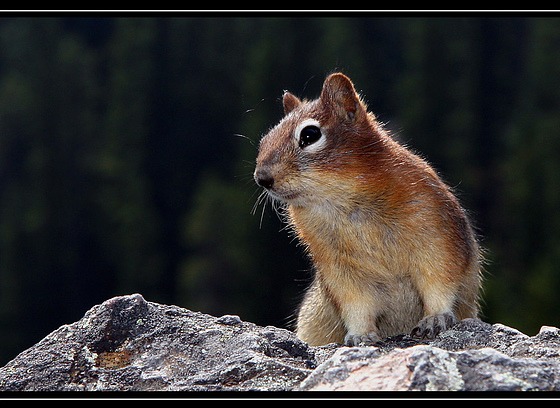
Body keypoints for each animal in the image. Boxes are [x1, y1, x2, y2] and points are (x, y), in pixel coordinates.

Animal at [254, 72, 482, 344]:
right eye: (265, 139)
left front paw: (435, 318)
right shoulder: (338, 269)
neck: (343, 202)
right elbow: (356, 305)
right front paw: (360, 336)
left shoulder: (437, 238)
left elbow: (439, 282)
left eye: (309, 135)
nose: (261, 177)